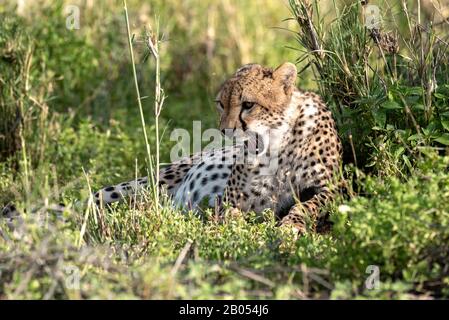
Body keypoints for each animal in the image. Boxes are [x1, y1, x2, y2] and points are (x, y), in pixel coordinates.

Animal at [1, 62, 342, 234]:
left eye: (248, 105)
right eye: (221, 103)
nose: (225, 129)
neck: (275, 145)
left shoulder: (333, 187)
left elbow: (307, 205)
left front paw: (289, 228)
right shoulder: (231, 200)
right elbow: (229, 215)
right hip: (140, 186)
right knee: (77, 207)